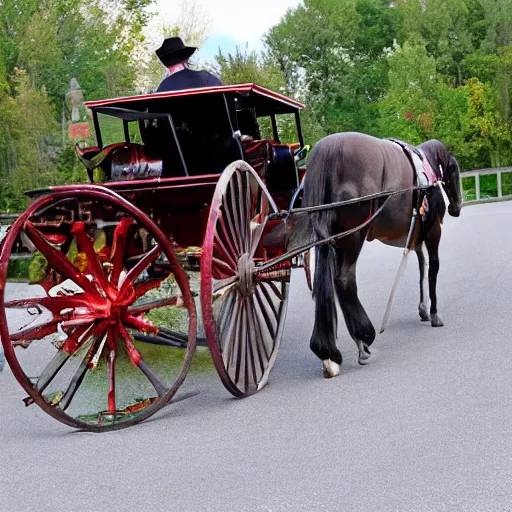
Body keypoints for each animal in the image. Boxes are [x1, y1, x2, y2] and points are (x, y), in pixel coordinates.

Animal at [298, 133, 462, 376]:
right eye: (455, 171)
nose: (456, 207)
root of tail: (328, 151)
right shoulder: (433, 232)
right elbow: (433, 269)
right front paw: (434, 314)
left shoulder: (415, 239)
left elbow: (422, 269)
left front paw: (423, 309)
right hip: (352, 238)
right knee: (345, 281)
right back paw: (363, 338)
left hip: (329, 242)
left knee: (329, 283)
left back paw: (331, 352)